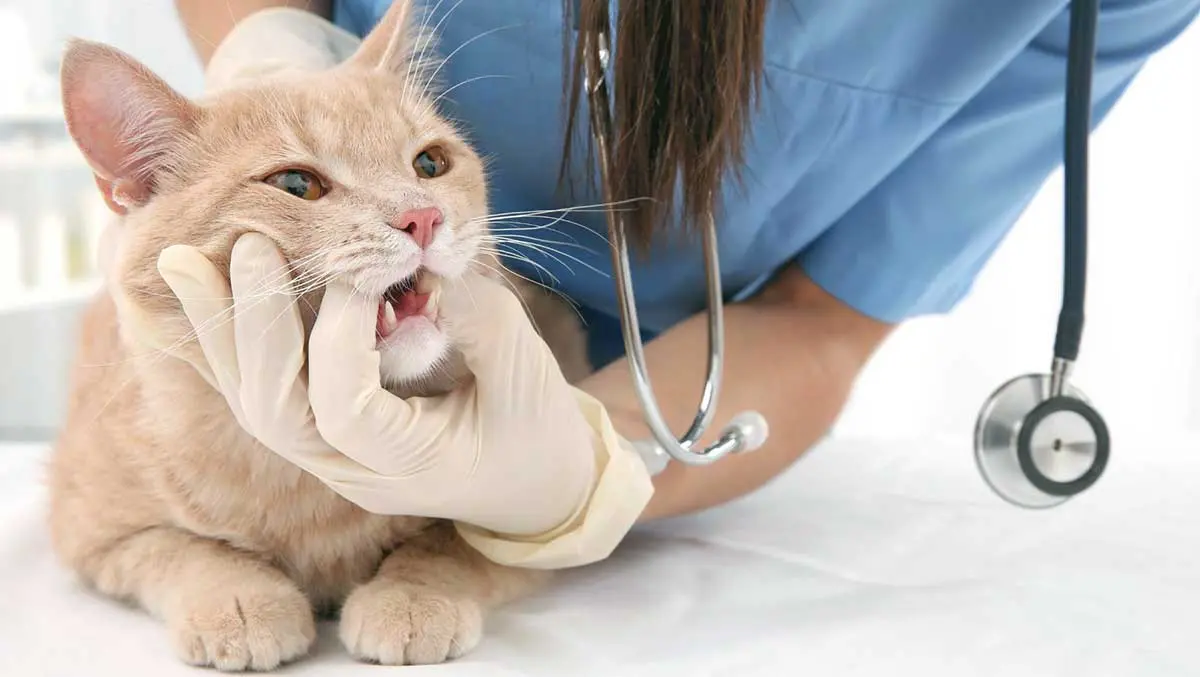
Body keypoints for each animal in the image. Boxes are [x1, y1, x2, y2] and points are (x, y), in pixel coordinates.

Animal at [48, 1, 595, 672]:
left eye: (430, 164)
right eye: (296, 185)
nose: (424, 217)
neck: (307, 465)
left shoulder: (533, 522)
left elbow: (451, 543)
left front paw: (412, 594)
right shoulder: (92, 531)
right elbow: (180, 550)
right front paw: (238, 598)